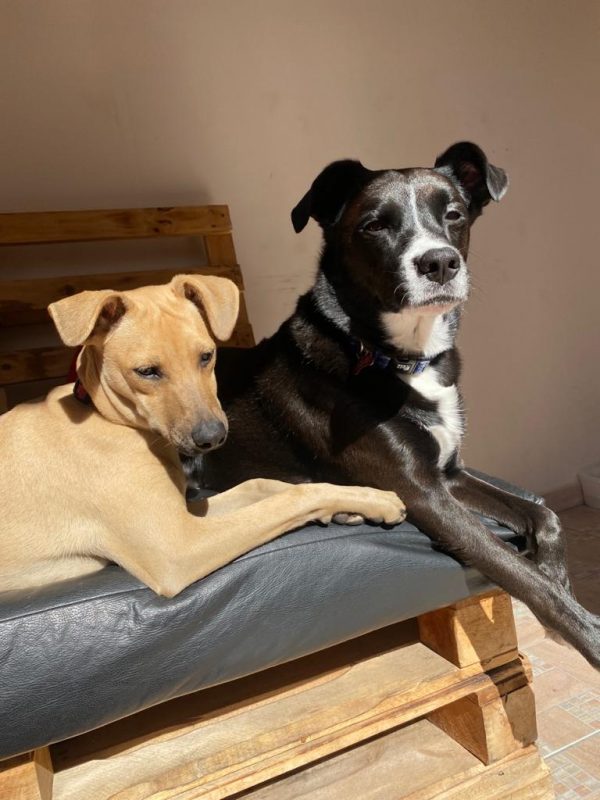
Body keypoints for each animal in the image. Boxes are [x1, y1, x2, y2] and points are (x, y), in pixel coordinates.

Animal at [0, 275, 405, 596]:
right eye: (146, 371)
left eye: (207, 356)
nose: (212, 438)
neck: (105, 417)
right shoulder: (178, 548)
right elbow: (293, 497)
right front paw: (374, 500)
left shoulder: (190, 511)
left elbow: (266, 485)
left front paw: (355, 504)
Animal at [194, 142, 600, 667]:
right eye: (374, 225)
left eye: (454, 215)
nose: (440, 263)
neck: (399, 356)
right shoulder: (423, 493)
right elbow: (518, 572)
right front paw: (586, 633)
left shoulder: (448, 475)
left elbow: (545, 516)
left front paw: (558, 574)